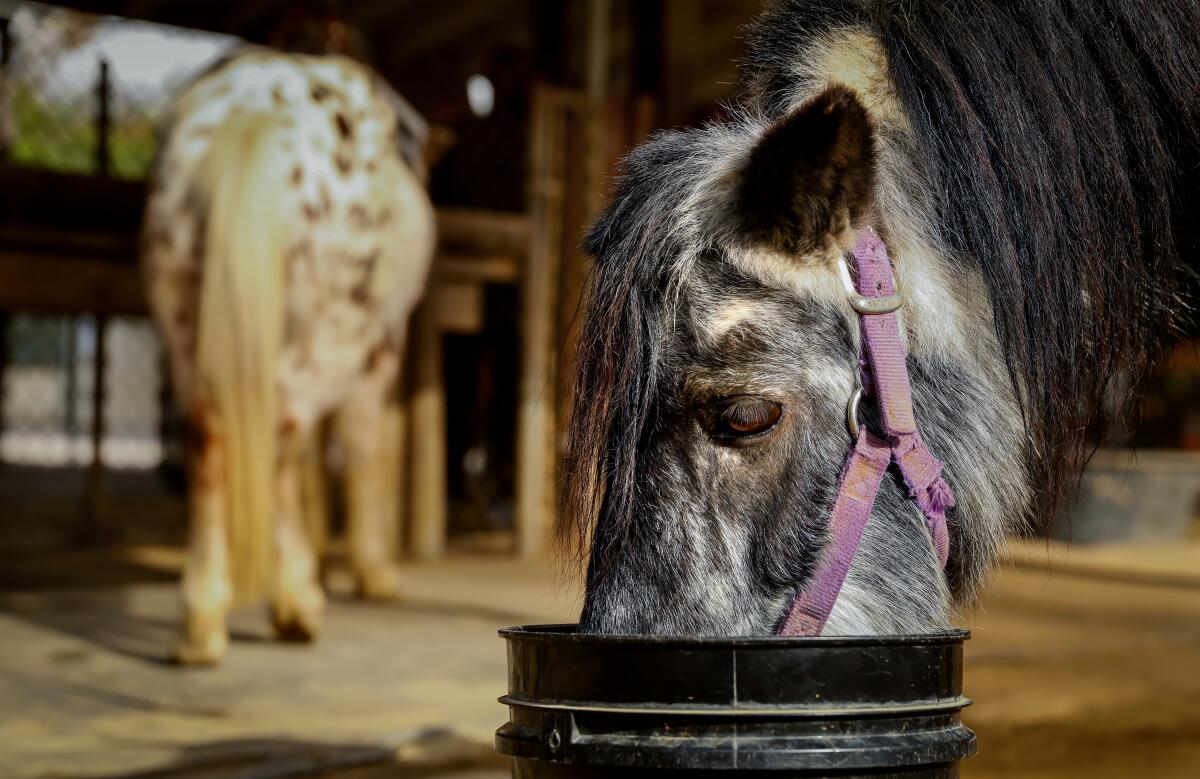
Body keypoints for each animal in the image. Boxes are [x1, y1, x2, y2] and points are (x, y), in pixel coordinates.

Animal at [144, 48, 436, 662]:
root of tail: (252, 109)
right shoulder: (380, 352)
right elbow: (364, 445)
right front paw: (374, 572)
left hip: (183, 321)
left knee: (210, 436)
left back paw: (201, 620)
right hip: (338, 329)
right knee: (282, 432)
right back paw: (296, 601)